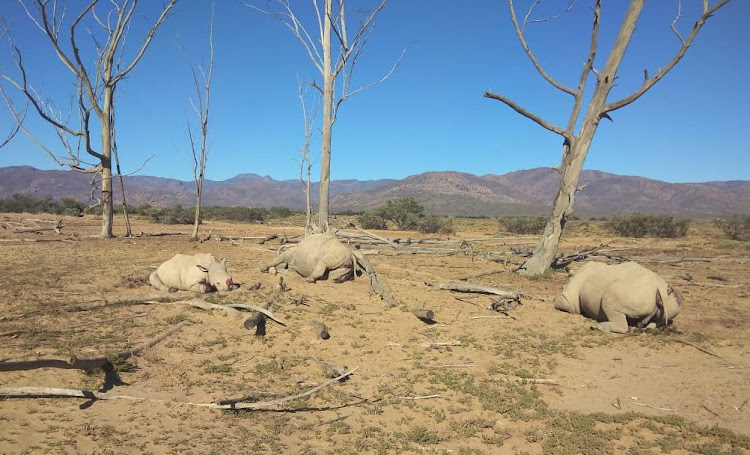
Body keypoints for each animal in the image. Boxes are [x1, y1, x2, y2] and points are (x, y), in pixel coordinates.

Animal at [556, 260, 684, 334]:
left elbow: (561, 302)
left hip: (630, 292)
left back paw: (596, 327)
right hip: (672, 302)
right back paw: (646, 328)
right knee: (662, 317)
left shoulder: (569, 301)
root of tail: (658, 287)